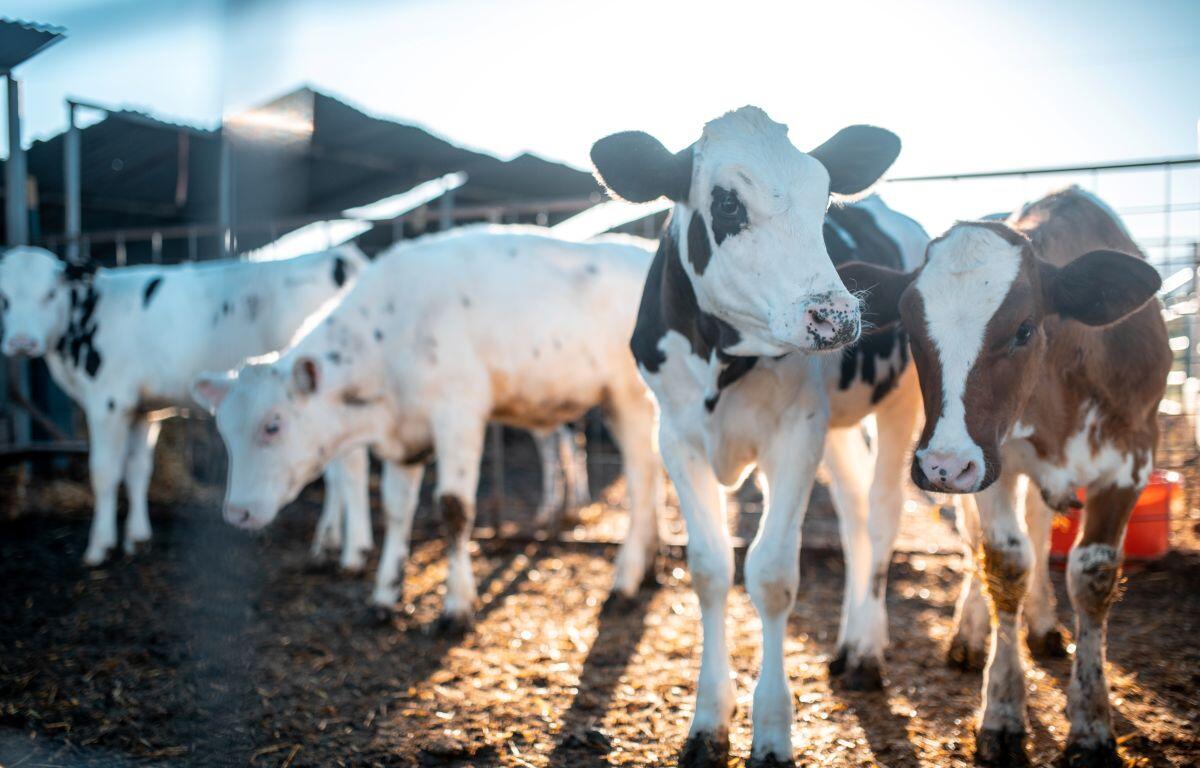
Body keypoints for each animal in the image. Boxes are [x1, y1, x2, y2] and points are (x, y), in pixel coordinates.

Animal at [0, 245, 372, 569]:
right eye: (3, 298)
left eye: (50, 294)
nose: (21, 343)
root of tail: (339, 256)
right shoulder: (143, 409)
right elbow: (138, 469)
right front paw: (137, 537)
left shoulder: (108, 402)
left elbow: (104, 472)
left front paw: (99, 546)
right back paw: (332, 540)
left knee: (348, 467)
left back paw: (345, 548)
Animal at [191, 225, 663, 631]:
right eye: (225, 430)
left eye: (273, 425)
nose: (236, 512)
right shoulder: (404, 439)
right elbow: (397, 511)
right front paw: (383, 599)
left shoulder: (459, 415)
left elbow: (454, 509)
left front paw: (456, 607)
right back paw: (652, 567)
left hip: (628, 397)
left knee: (641, 480)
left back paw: (626, 581)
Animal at [591, 106, 921, 766]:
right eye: (726, 204)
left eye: (825, 197)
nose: (836, 316)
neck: (723, 352)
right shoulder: (677, 437)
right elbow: (710, 567)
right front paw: (707, 721)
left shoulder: (795, 435)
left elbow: (770, 574)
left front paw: (771, 730)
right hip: (837, 424)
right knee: (852, 512)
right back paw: (847, 645)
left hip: (904, 400)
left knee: (881, 513)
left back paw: (867, 651)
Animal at [842, 187, 1168, 766]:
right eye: (911, 329)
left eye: (1024, 329)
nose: (943, 466)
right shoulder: (992, 464)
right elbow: (1006, 563)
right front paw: (1002, 714)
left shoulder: (1132, 459)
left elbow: (1092, 576)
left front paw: (1091, 727)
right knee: (987, 543)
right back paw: (972, 636)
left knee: (1039, 528)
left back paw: (1042, 626)